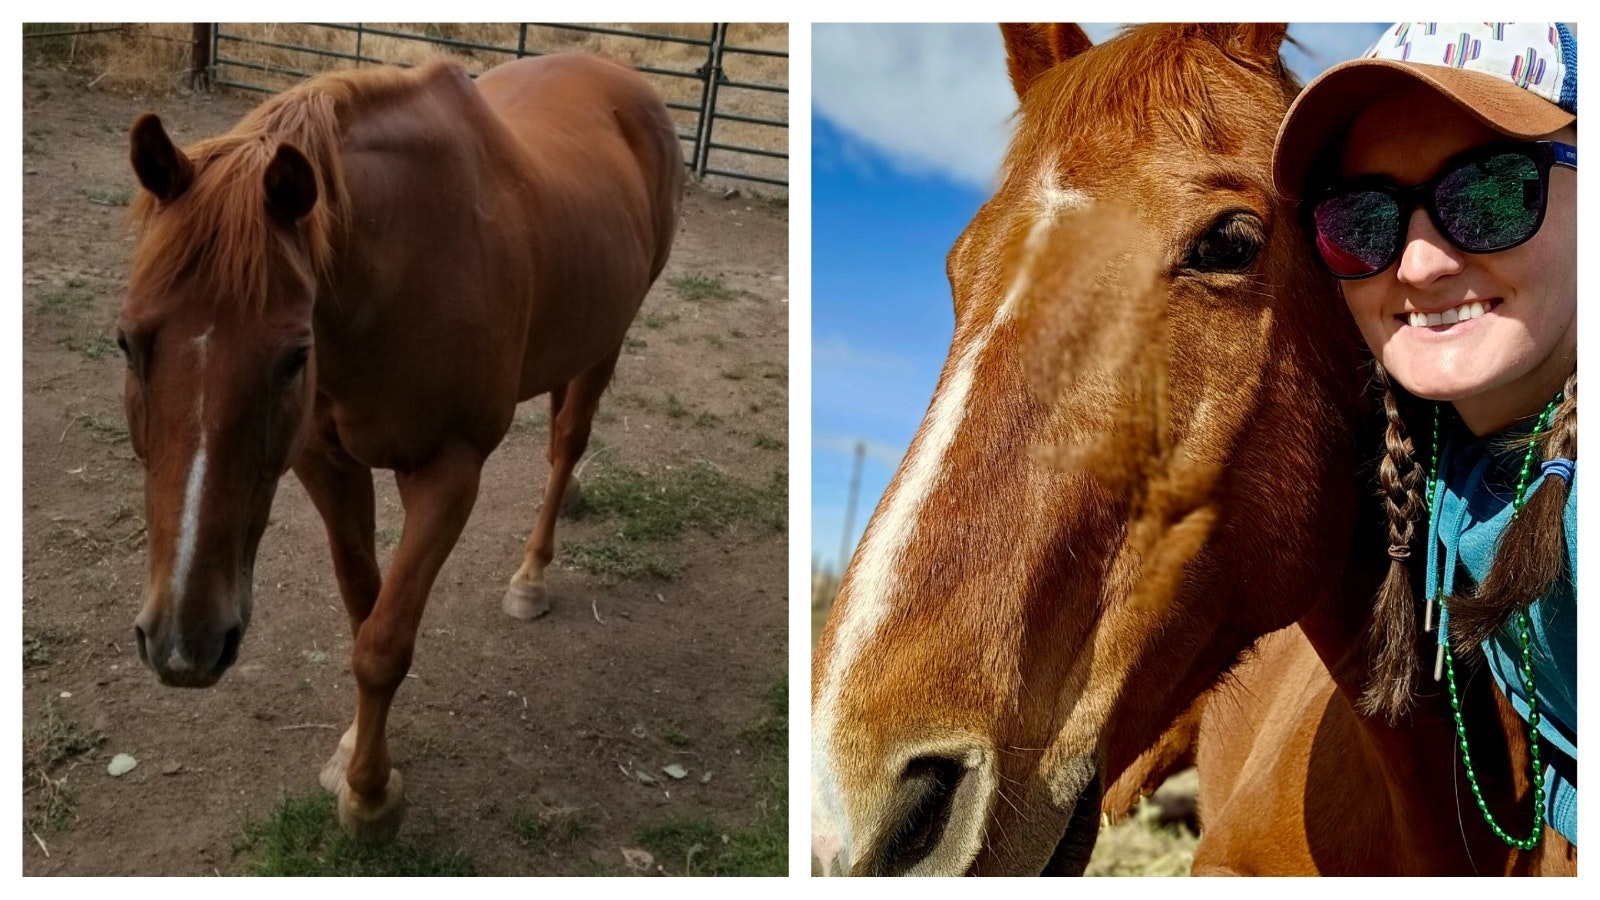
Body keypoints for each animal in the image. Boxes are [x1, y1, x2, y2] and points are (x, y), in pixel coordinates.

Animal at [120, 52, 681, 832]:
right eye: (127, 342)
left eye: (294, 356)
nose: (185, 644)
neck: (397, 275)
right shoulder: (326, 464)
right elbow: (364, 610)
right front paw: (354, 748)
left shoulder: (448, 473)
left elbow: (384, 643)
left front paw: (371, 795)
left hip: (610, 337)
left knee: (567, 441)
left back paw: (532, 577)